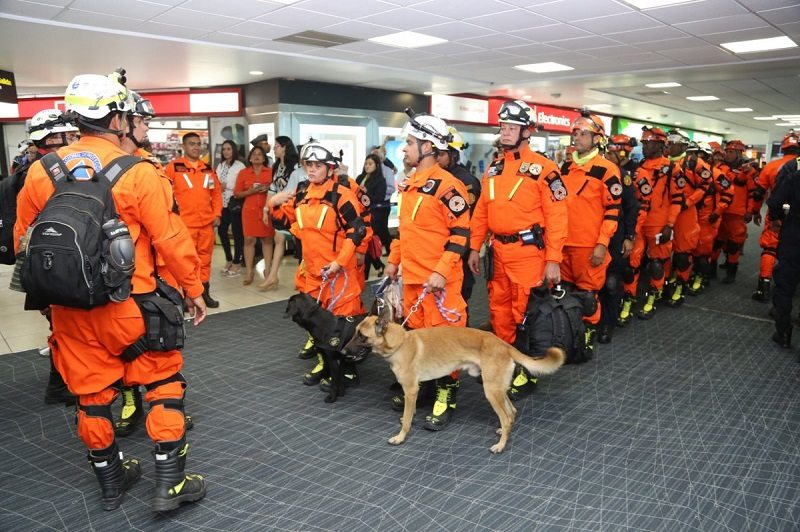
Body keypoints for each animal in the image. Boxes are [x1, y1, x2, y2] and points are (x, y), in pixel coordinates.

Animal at [346, 312, 564, 454]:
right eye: (355, 332)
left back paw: (501, 445)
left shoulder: (410, 390)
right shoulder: (413, 391)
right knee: (511, 413)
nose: (343, 351)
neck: (401, 343)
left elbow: (407, 419)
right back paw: (504, 432)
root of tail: (503, 344)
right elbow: (410, 412)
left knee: (506, 416)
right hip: (497, 389)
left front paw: (400, 437)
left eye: (361, 336)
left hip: (491, 391)